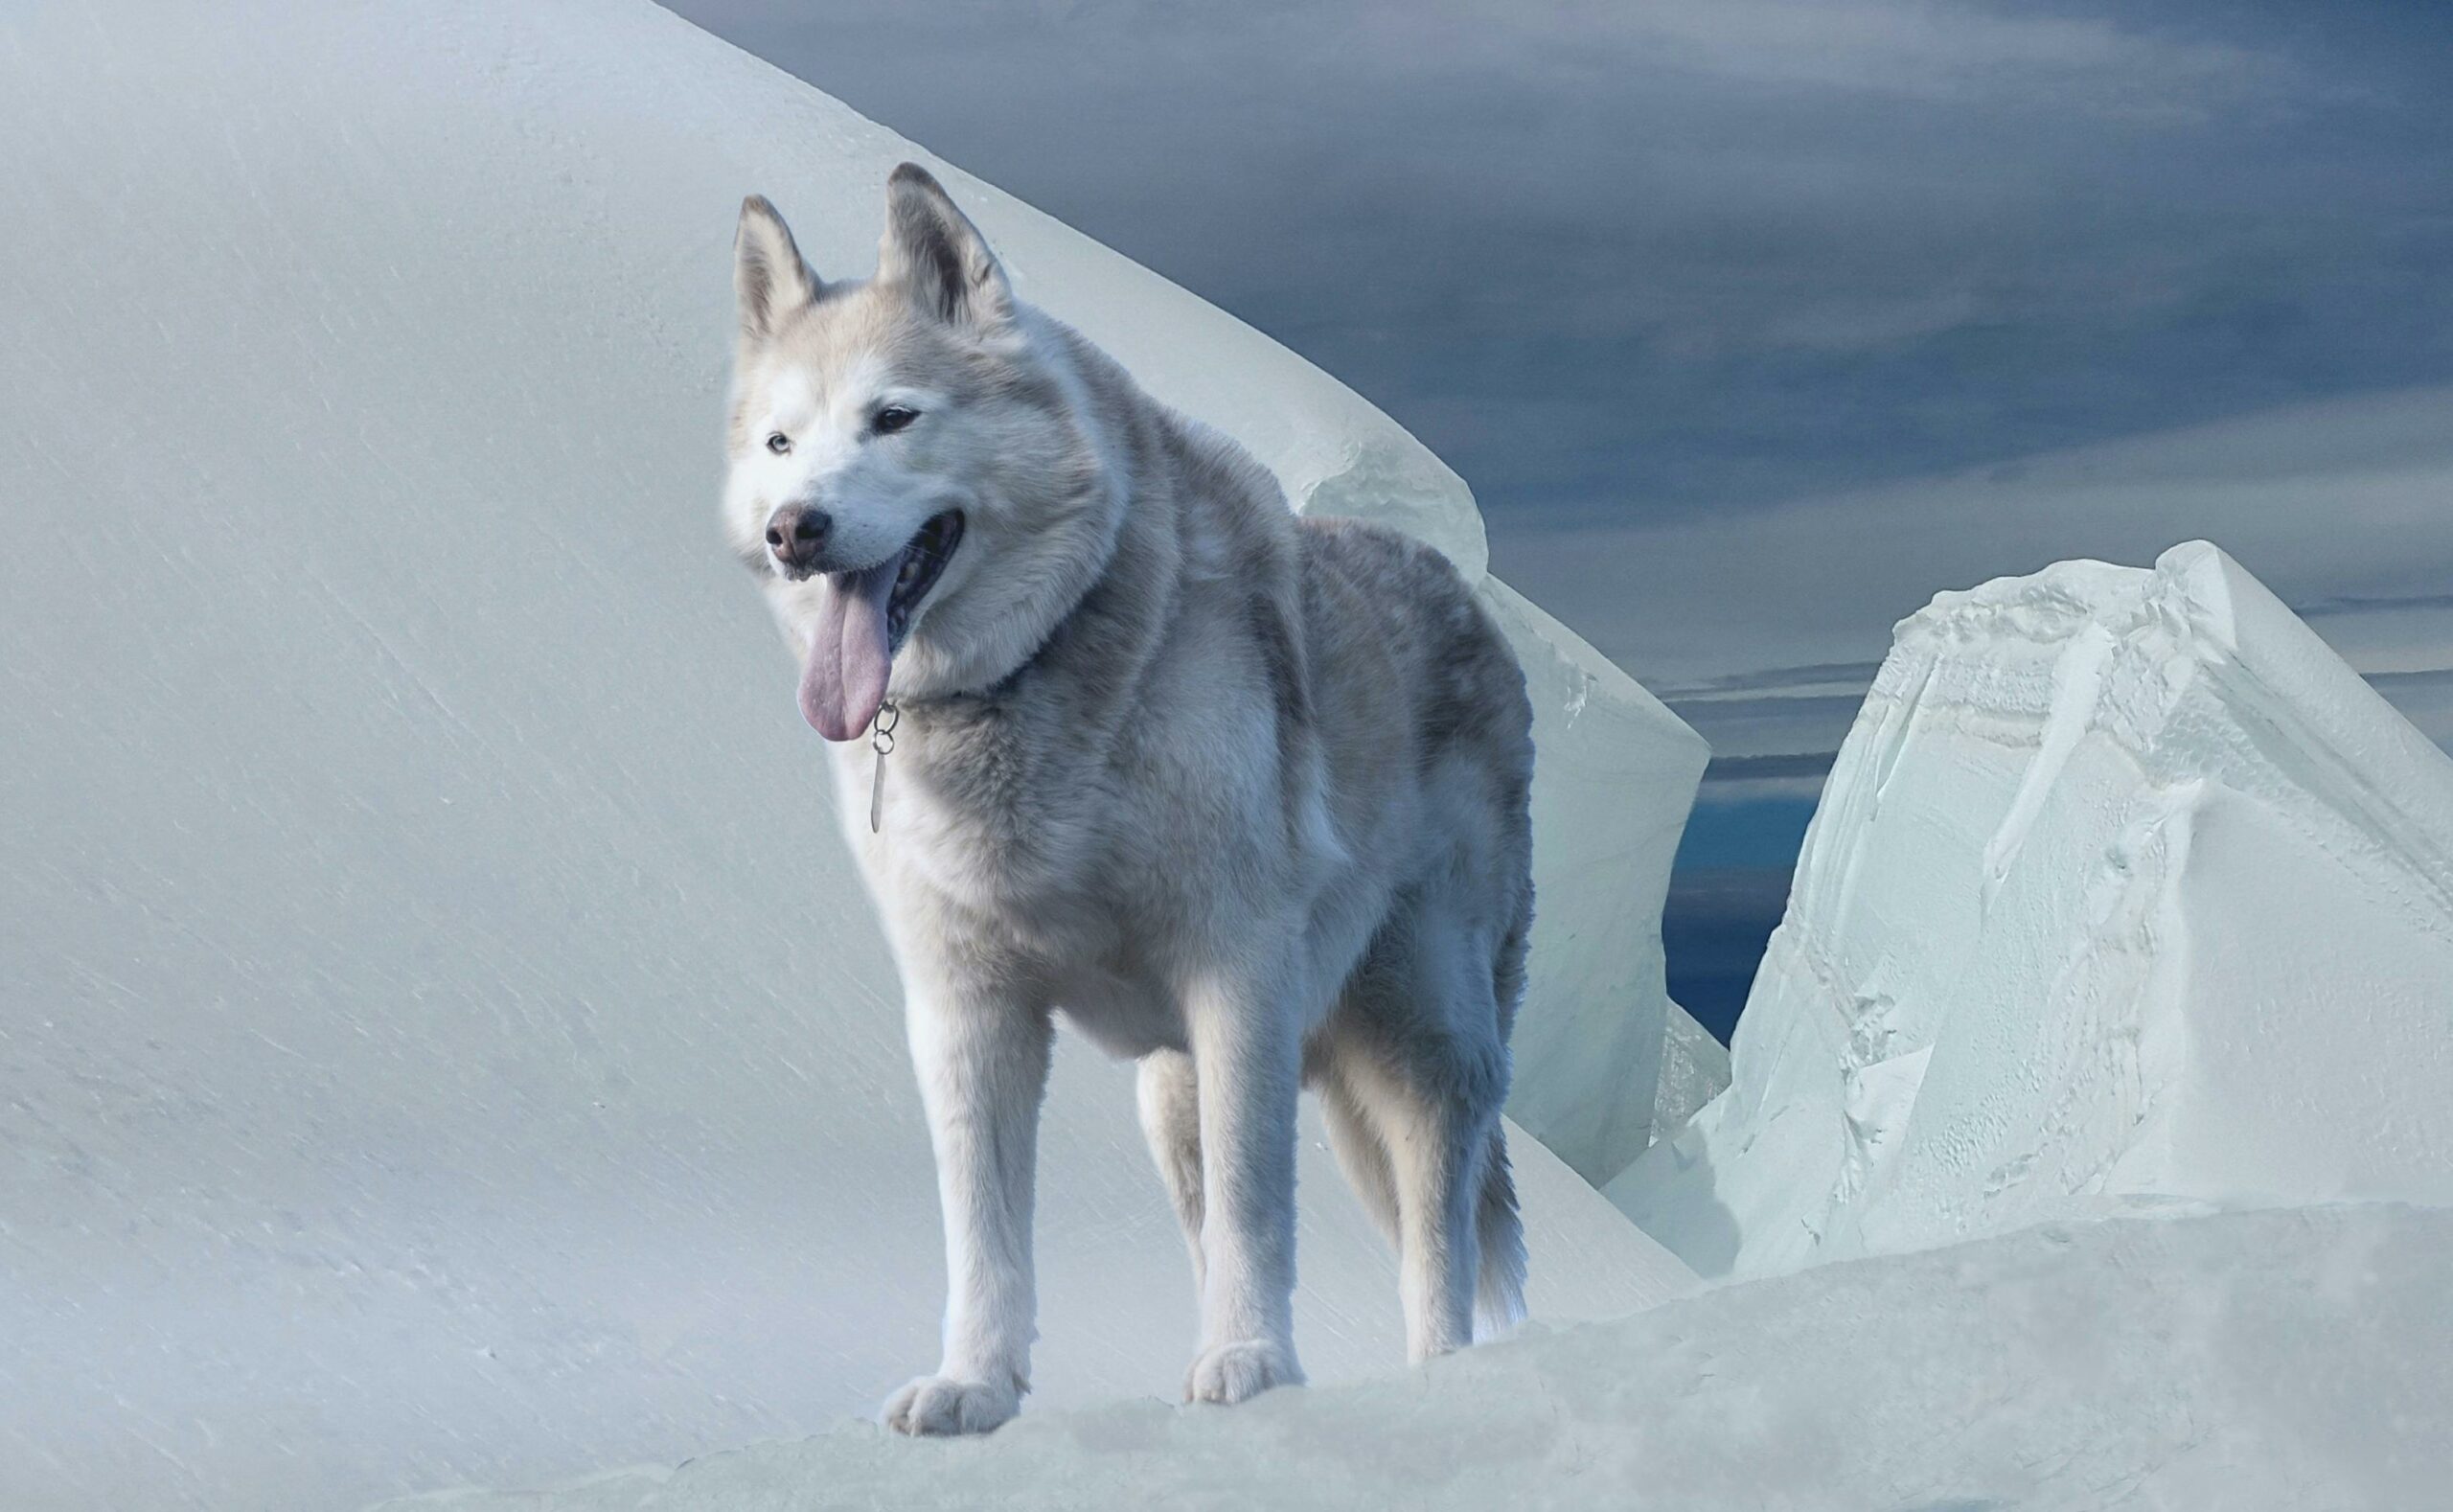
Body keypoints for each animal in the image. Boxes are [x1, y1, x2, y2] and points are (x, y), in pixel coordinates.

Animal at [721, 168, 1530, 1443]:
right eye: (781, 441)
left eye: (893, 419)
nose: (794, 529)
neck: (1024, 685)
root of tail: (1460, 587)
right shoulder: (966, 1010)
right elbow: (983, 1231)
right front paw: (975, 1386)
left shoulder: (1236, 973)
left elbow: (1259, 1206)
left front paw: (1251, 1363)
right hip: (1173, 1090)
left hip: (1423, 1036)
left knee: (1432, 1232)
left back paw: (1434, 1374)